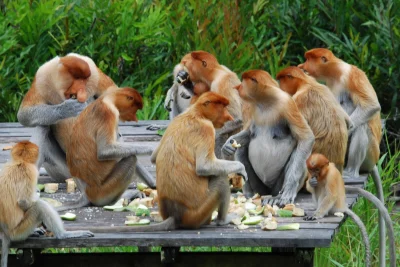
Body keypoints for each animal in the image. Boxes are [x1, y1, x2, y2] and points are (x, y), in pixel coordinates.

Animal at [65, 91, 247, 232]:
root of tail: (175, 216)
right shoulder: (206, 128)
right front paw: (240, 168)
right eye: (222, 107)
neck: (196, 113)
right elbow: (204, 167)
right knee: (220, 179)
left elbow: (155, 156)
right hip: (199, 213)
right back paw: (223, 220)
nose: (230, 116)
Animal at [220, 69, 314, 205]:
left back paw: (277, 198)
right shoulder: (253, 107)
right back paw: (249, 194)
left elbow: (306, 138)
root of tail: (268, 191)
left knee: (299, 154)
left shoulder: (287, 104)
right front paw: (227, 146)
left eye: (243, 82)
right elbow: (249, 133)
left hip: (277, 185)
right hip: (259, 186)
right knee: (242, 148)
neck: (265, 101)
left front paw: (288, 191)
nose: (237, 87)